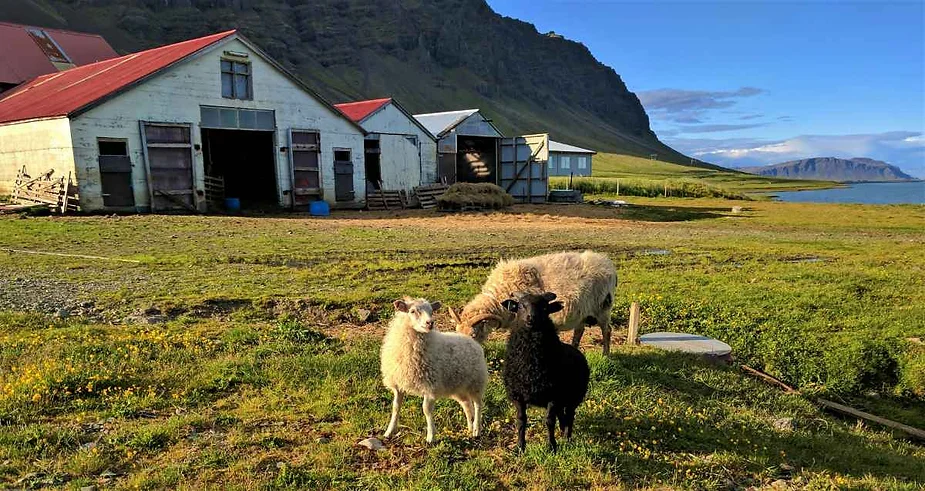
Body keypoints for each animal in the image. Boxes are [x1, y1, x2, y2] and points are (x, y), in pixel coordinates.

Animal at [378, 298, 488, 444]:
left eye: (431, 311)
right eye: (412, 311)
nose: (430, 323)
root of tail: (471, 339)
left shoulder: (430, 386)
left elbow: (426, 410)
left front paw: (431, 436)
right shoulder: (398, 385)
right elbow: (395, 407)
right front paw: (389, 432)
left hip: (476, 382)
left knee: (478, 405)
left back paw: (476, 429)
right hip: (458, 387)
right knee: (466, 404)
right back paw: (470, 428)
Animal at [450, 252, 616, 356]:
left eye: (473, 335)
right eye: (456, 332)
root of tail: (608, 264)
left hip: (603, 308)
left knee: (607, 330)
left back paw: (606, 355)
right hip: (582, 312)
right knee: (579, 331)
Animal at [502, 292, 588, 454]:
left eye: (544, 308)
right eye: (521, 306)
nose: (531, 318)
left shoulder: (553, 395)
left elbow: (549, 421)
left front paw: (552, 447)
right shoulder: (518, 395)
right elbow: (521, 420)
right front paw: (520, 447)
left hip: (573, 397)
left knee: (570, 415)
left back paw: (567, 438)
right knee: (563, 415)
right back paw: (563, 430)